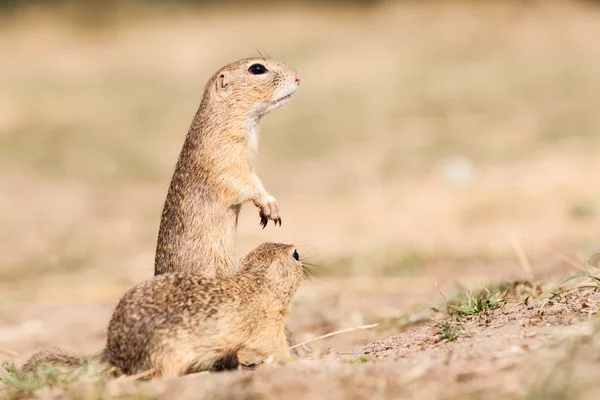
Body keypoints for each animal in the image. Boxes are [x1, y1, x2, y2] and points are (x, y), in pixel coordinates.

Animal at [22, 244, 310, 378]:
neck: (257, 284)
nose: (303, 257)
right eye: (295, 254)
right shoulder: (266, 326)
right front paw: (298, 360)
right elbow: (275, 346)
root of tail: (111, 350)